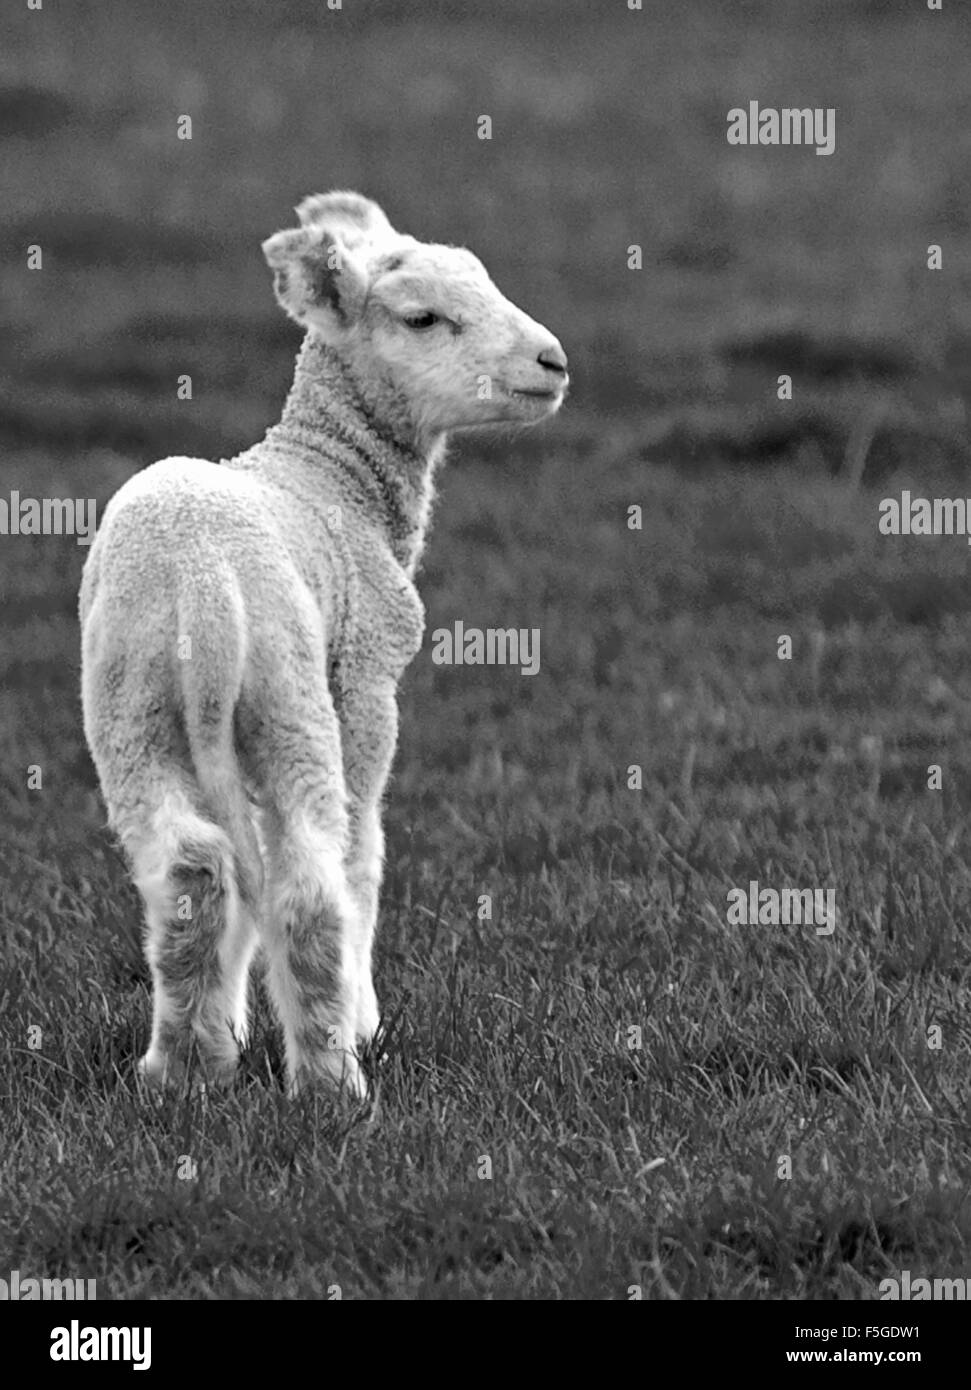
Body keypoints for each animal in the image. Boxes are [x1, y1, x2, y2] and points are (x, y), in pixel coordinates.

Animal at [79, 192, 568, 1098]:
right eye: (422, 318)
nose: (551, 362)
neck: (330, 471)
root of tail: (202, 590)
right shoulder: (369, 675)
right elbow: (365, 850)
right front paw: (364, 1016)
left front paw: (234, 1026)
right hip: (290, 694)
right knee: (310, 876)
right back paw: (332, 1078)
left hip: (128, 704)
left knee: (192, 865)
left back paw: (182, 1065)